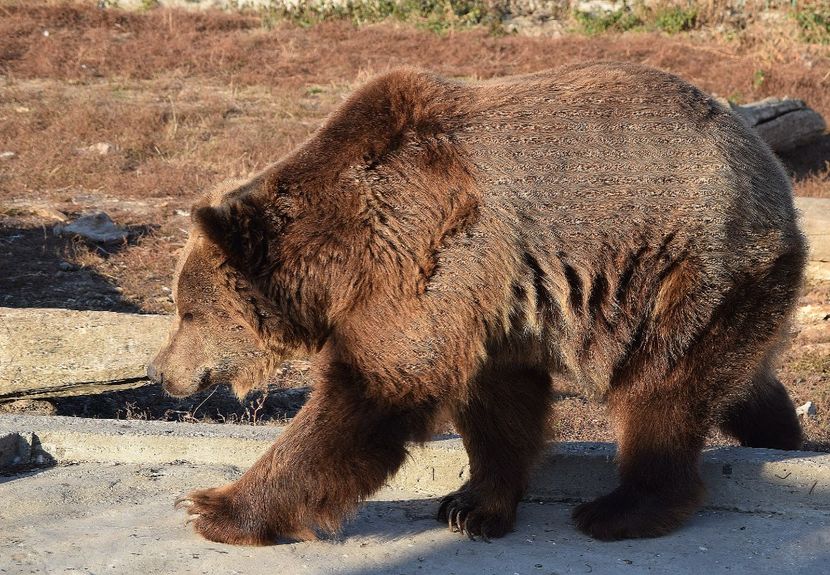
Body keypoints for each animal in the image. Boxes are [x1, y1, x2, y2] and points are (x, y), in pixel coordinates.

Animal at [148, 62, 808, 544]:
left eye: (186, 311)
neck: (341, 258)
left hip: (685, 266)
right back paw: (784, 434)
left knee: (662, 388)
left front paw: (214, 508)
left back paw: (621, 509)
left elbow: (375, 391)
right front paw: (472, 506)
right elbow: (498, 406)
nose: (160, 370)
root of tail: (769, 167)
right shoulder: (495, 304)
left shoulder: (428, 252)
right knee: (736, 377)